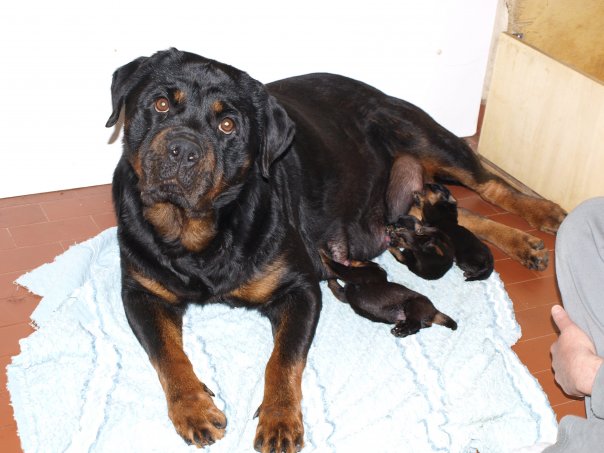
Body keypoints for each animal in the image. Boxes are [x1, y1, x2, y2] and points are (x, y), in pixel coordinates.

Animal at [320, 252, 458, 338]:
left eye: (362, 259)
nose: (350, 257)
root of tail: (435, 311)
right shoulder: (345, 294)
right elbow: (335, 285)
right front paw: (329, 279)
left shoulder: (356, 275)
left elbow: (337, 267)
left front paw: (322, 253)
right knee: (418, 326)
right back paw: (401, 330)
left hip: (412, 305)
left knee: (415, 324)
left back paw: (400, 331)